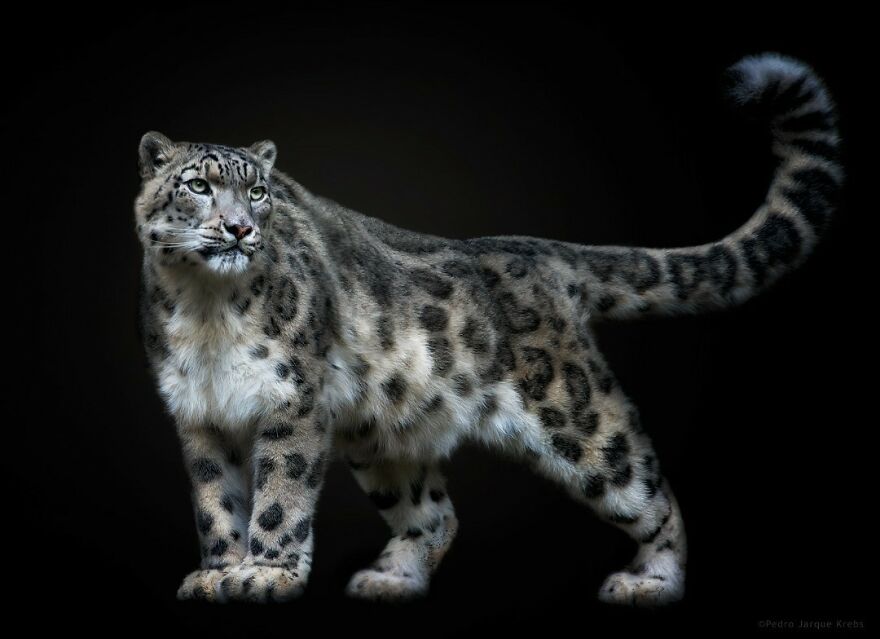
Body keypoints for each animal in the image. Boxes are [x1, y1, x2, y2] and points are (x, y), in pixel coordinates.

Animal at [134, 53, 841, 606]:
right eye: (198, 185)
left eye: (259, 192)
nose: (239, 229)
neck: (206, 312)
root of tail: (534, 249)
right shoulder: (197, 413)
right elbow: (216, 504)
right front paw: (217, 573)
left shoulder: (291, 401)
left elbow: (279, 494)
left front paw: (263, 574)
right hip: (379, 433)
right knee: (435, 513)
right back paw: (390, 579)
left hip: (583, 421)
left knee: (653, 493)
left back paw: (652, 583)